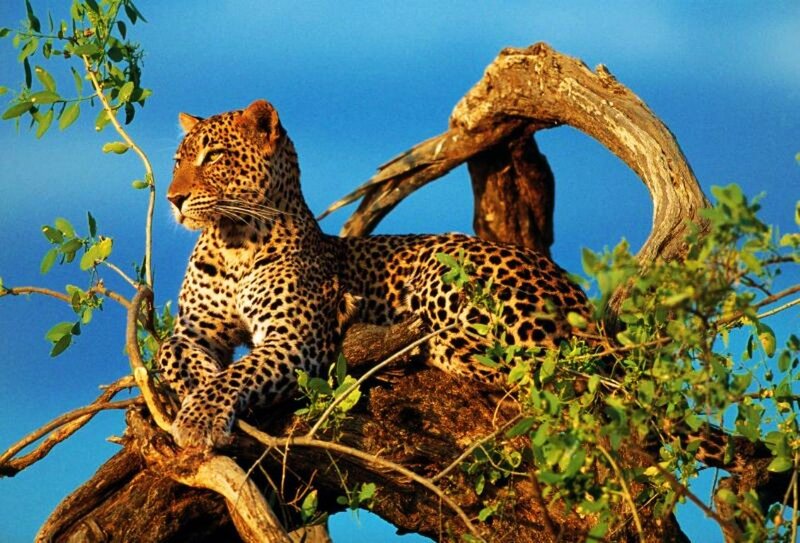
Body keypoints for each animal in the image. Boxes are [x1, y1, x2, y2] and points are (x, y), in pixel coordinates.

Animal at [159, 99, 593, 449]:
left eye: (214, 156)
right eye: (178, 161)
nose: (173, 199)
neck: (232, 242)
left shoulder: (297, 340)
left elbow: (238, 373)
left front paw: (200, 417)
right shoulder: (194, 330)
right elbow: (169, 351)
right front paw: (196, 383)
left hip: (441, 270)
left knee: (522, 367)